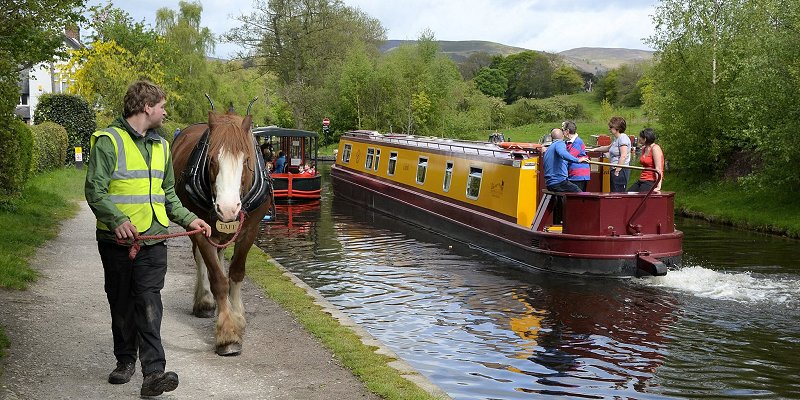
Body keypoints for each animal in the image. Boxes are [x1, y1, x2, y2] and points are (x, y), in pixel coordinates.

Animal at [171, 107, 272, 356]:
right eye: (211, 159)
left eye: (246, 160)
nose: (227, 209)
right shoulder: (201, 229)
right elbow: (217, 278)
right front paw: (227, 334)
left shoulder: (250, 230)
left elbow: (236, 272)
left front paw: (237, 315)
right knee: (201, 260)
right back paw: (205, 301)